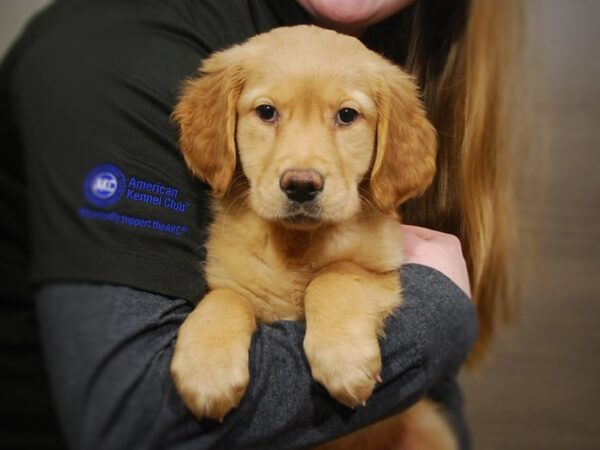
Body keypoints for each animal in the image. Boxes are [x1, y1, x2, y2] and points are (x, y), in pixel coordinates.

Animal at [171, 25, 452, 450]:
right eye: (266, 112)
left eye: (347, 115)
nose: (301, 185)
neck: (297, 243)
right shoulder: (229, 274)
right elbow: (226, 298)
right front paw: (206, 367)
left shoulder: (382, 272)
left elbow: (335, 276)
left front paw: (343, 358)